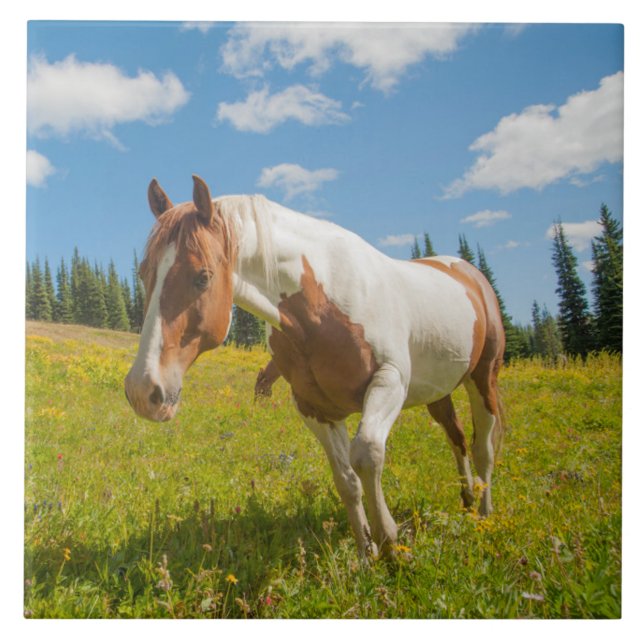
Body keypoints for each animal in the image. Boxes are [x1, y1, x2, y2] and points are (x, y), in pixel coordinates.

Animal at [124, 175, 506, 559]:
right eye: (143, 273)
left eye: (202, 277)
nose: (143, 391)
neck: (321, 307)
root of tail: (470, 274)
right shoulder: (313, 406)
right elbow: (346, 479)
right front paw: (366, 553)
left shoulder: (390, 381)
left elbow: (366, 454)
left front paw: (390, 542)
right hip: (437, 392)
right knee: (457, 437)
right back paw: (467, 499)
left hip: (482, 379)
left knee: (483, 447)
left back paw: (484, 514)